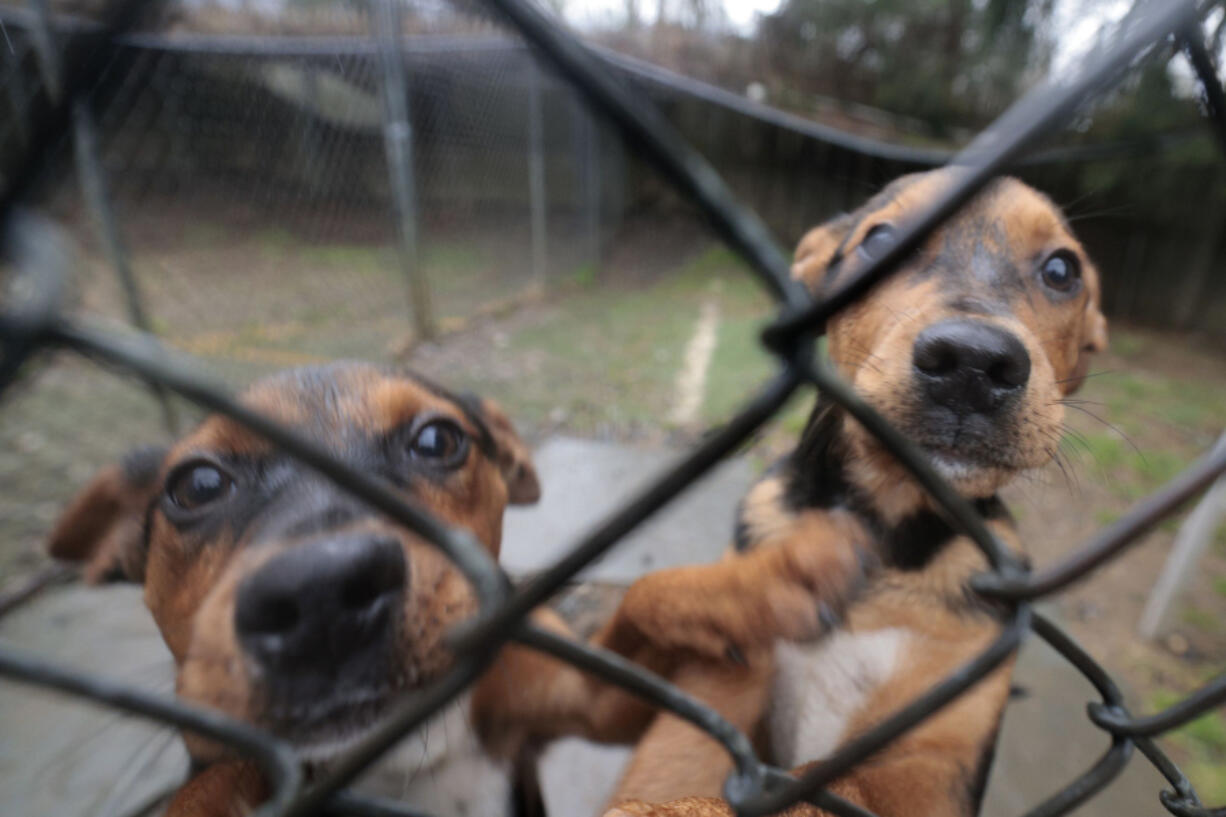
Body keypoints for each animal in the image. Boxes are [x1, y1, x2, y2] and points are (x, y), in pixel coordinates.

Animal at [44, 363, 647, 814]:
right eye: (197, 484)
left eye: (438, 440)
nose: (320, 596)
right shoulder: (223, 753)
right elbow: (202, 789)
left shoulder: (578, 694)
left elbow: (645, 622)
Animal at [598, 168, 1108, 809]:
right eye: (880, 238)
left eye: (1062, 270)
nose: (972, 363)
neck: (886, 527)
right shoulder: (664, 706)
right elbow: (644, 594)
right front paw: (767, 584)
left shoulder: (939, 763)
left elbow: (838, 782)